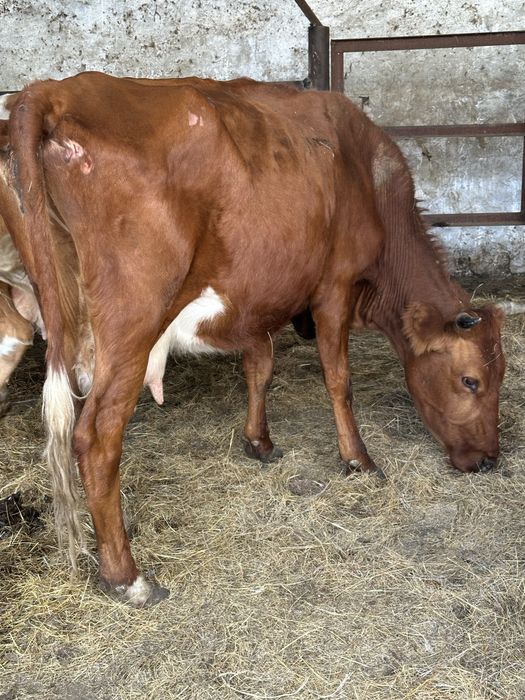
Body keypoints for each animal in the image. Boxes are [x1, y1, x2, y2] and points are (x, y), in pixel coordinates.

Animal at [5, 73, 505, 605]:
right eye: (470, 381)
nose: (490, 460)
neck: (368, 177)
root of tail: (56, 90)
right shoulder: (334, 287)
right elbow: (338, 378)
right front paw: (357, 458)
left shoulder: (257, 297)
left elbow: (259, 368)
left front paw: (258, 441)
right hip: (131, 322)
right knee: (96, 437)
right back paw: (127, 576)